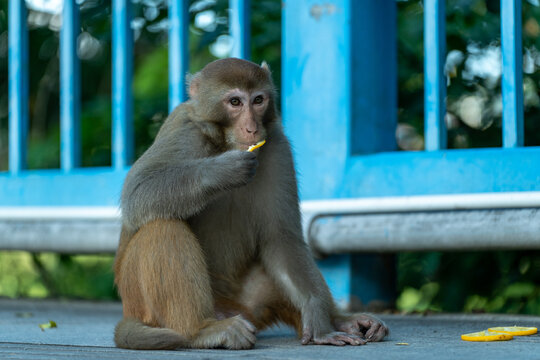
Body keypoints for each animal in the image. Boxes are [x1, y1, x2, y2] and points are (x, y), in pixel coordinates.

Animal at [114, 57, 388, 350]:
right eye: (235, 102)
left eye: (258, 100)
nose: (252, 127)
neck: (224, 141)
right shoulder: (184, 129)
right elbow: (138, 191)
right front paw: (222, 171)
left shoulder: (278, 145)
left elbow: (281, 237)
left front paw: (318, 316)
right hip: (138, 298)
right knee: (162, 226)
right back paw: (201, 331)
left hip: (252, 306)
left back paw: (340, 320)